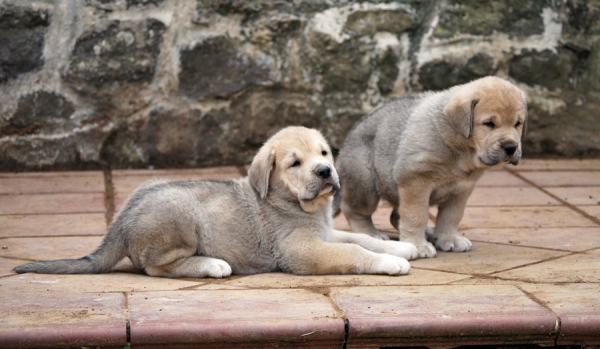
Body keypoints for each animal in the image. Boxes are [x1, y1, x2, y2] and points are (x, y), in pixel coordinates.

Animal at [14, 125, 418, 278]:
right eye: (294, 163)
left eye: (323, 153)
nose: (324, 172)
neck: (293, 204)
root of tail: (121, 221)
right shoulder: (302, 250)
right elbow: (354, 252)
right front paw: (390, 262)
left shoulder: (325, 234)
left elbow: (361, 238)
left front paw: (402, 247)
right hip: (178, 215)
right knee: (156, 267)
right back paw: (210, 264)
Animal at [336, 76, 528, 256]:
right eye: (489, 123)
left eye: (517, 124)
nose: (511, 147)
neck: (459, 150)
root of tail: (348, 138)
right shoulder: (415, 181)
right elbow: (416, 216)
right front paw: (418, 245)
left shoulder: (461, 191)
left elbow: (451, 217)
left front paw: (449, 239)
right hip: (365, 186)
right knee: (353, 210)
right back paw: (370, 233)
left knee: (395, 216)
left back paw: (428, 233)